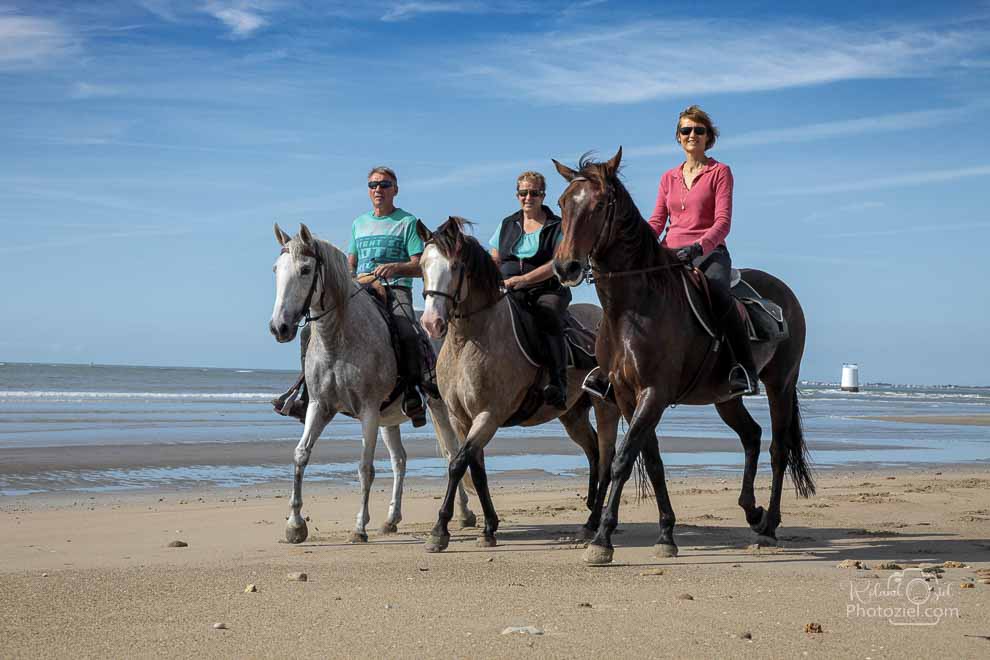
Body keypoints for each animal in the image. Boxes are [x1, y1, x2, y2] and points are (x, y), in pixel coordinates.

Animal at [270, 222, 474, 540]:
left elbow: (365, 467)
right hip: (389, 419)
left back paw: (465, 514)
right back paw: (391, 519)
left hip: (439, 407)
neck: (338, 341)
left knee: (452, 452)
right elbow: (301, 455)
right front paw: (295, 525)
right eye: (276, 269)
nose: (279, 327)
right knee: (400, 461)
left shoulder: (367, 410)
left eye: (305, 269)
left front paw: (358, 528)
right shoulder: (319, 406)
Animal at [552, 147, 812, 564]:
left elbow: (623, 459)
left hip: (781, 385)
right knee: (752, 436)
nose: (565, 267)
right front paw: (665, 534)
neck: (634, 307)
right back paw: (752, 513)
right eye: (562, 203)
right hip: (725, 397)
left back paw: (769, 526)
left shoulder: (653, 394)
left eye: (600, 204)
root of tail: (785, 294)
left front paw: (602, 539)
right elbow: (652, 462)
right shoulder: (626, 396)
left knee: (778, 449)